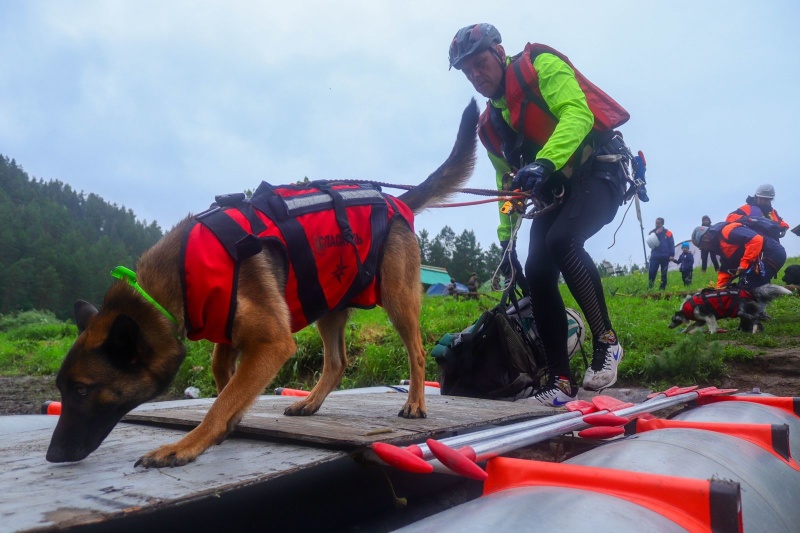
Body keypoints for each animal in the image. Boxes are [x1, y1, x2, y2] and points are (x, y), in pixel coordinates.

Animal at [45, 100, 476, 466]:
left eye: (82, 389)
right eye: (63, 390)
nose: (52, 455)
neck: (171, 285)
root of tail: (396, 202)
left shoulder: (272, 342)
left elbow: (222, 399)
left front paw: (186, 445)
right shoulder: (228, 334)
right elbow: (225, 379)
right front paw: (225, 425)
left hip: (395, 299)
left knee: (416, 352)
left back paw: (416, 403)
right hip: (327, 301)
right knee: (337, 362)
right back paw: (310, 403)